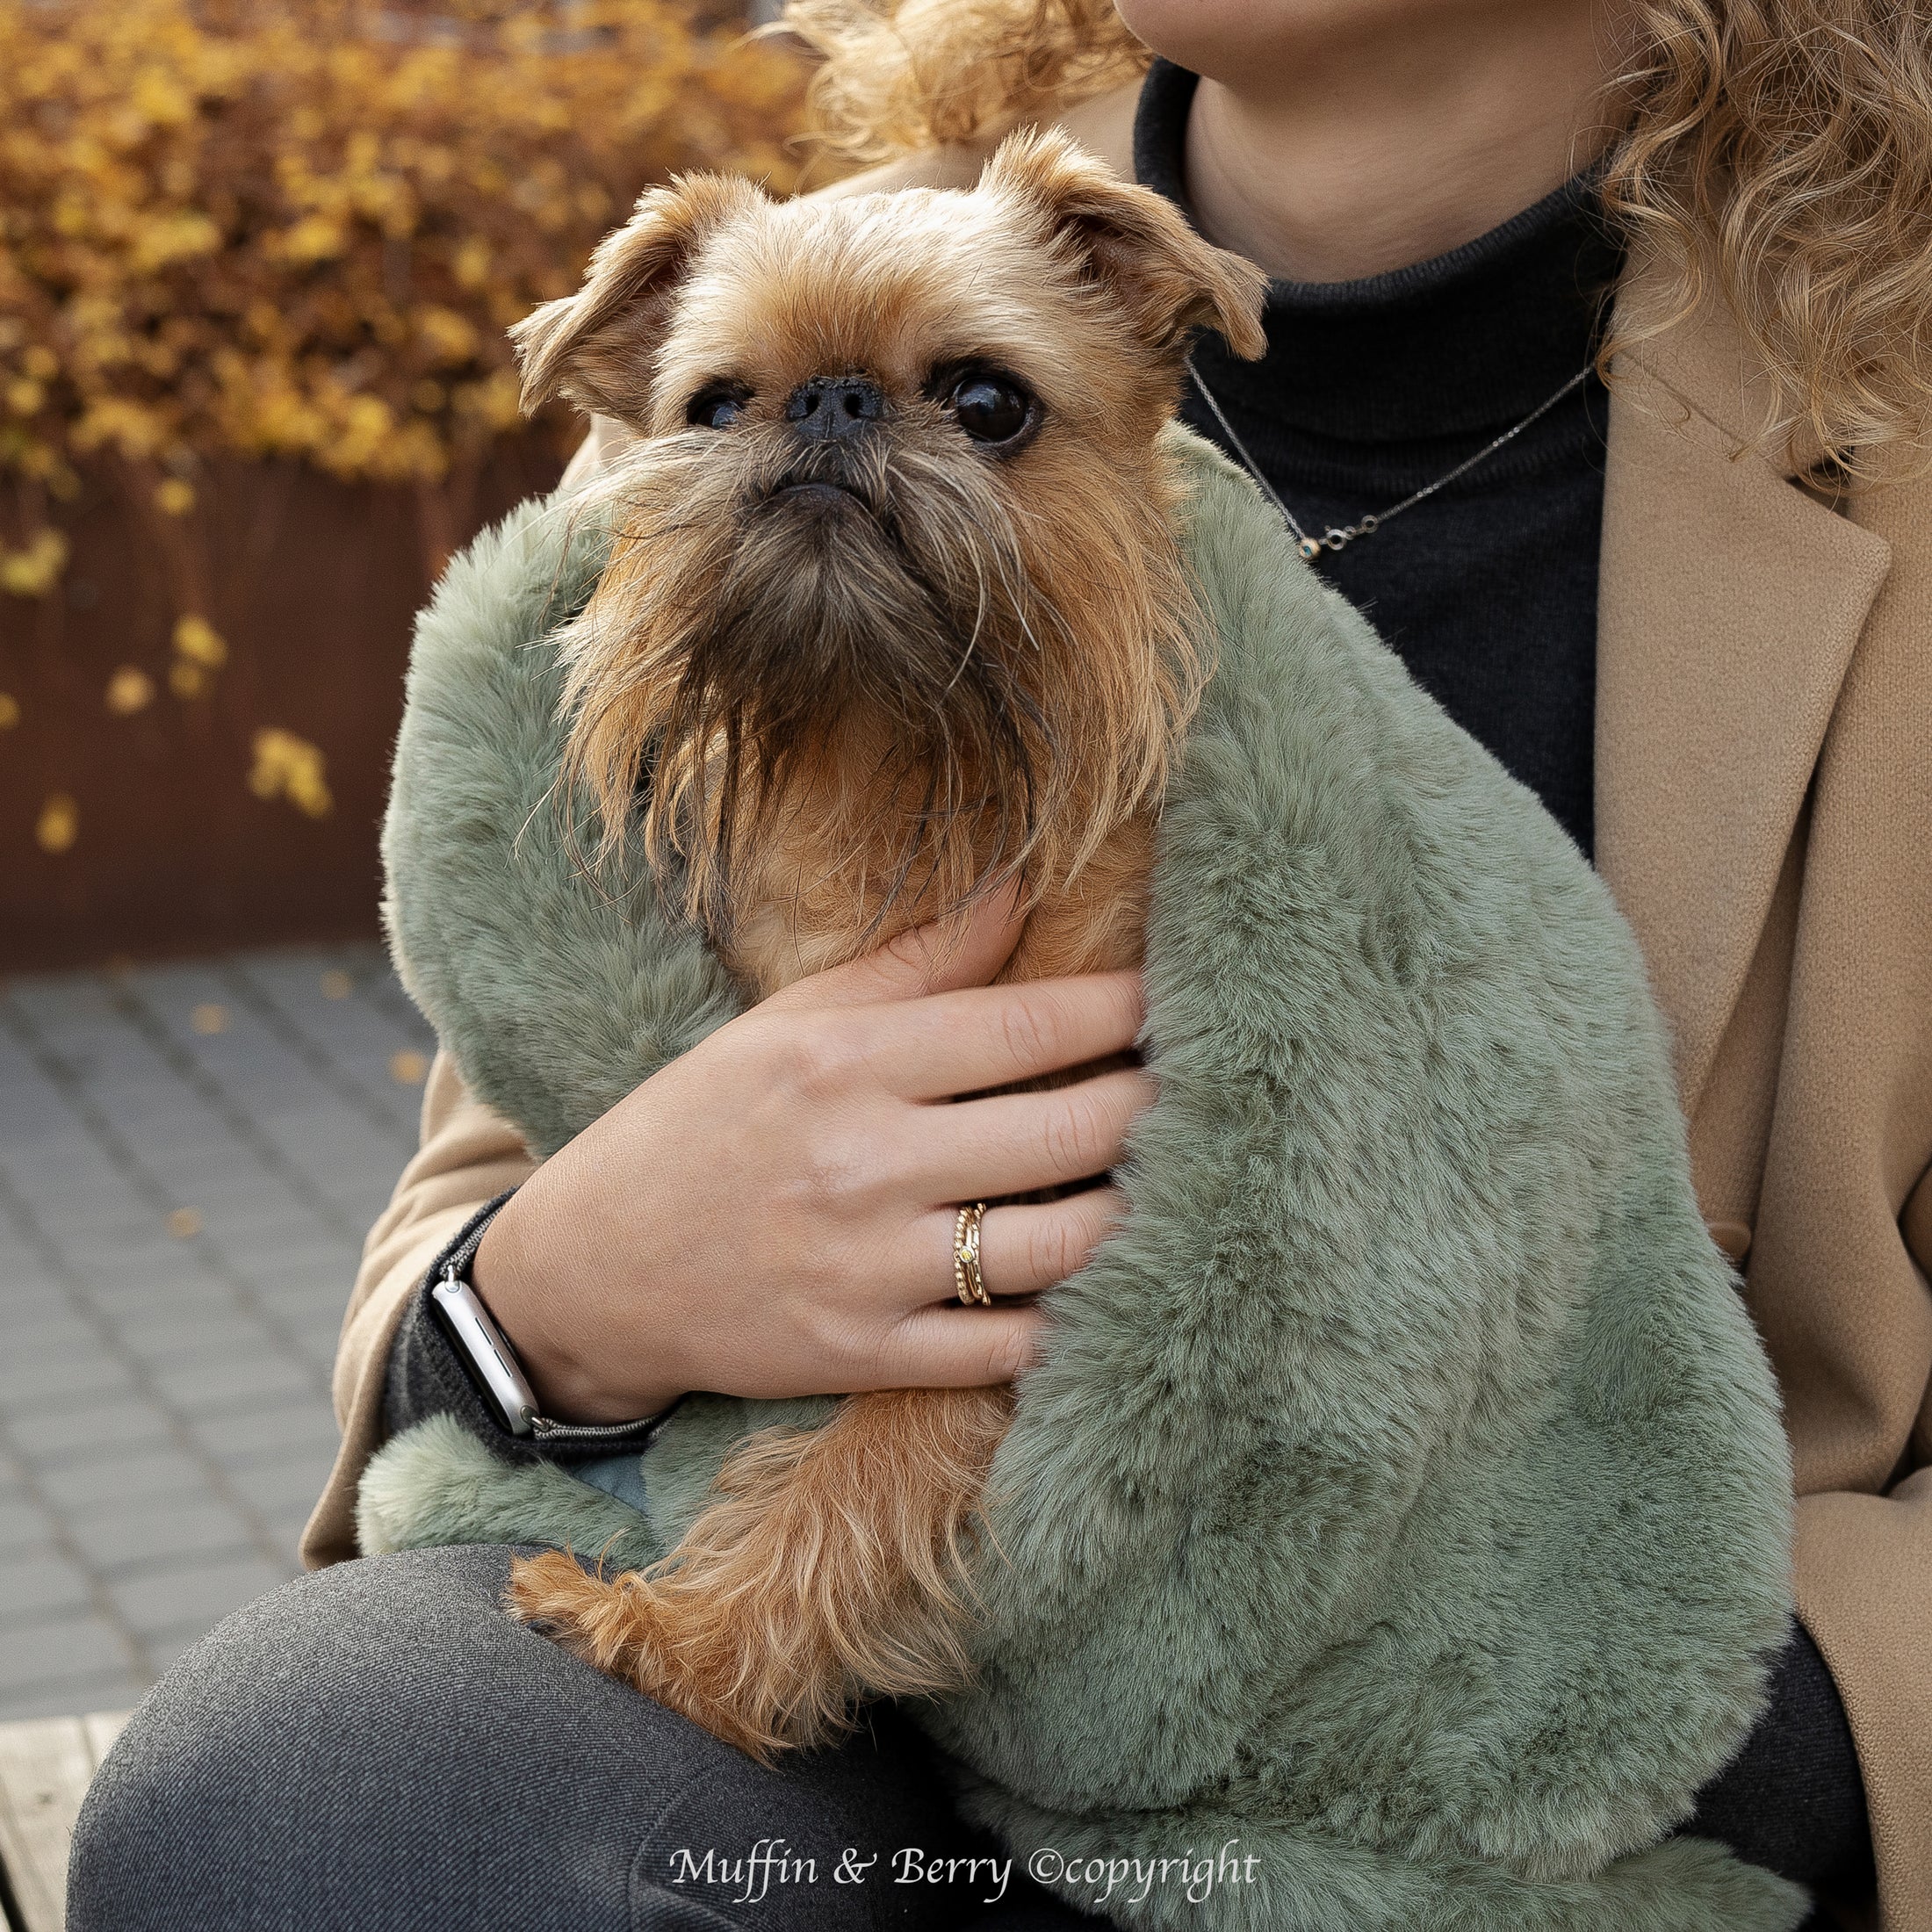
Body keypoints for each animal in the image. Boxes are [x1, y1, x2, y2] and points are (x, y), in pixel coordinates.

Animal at [498, 132, 1267, 1770]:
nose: (832, 401)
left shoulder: (1002, 1286)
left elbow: (854, 1486)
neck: (882, 759)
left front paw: (680, 1647)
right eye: (716, 404)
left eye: (989, 404)